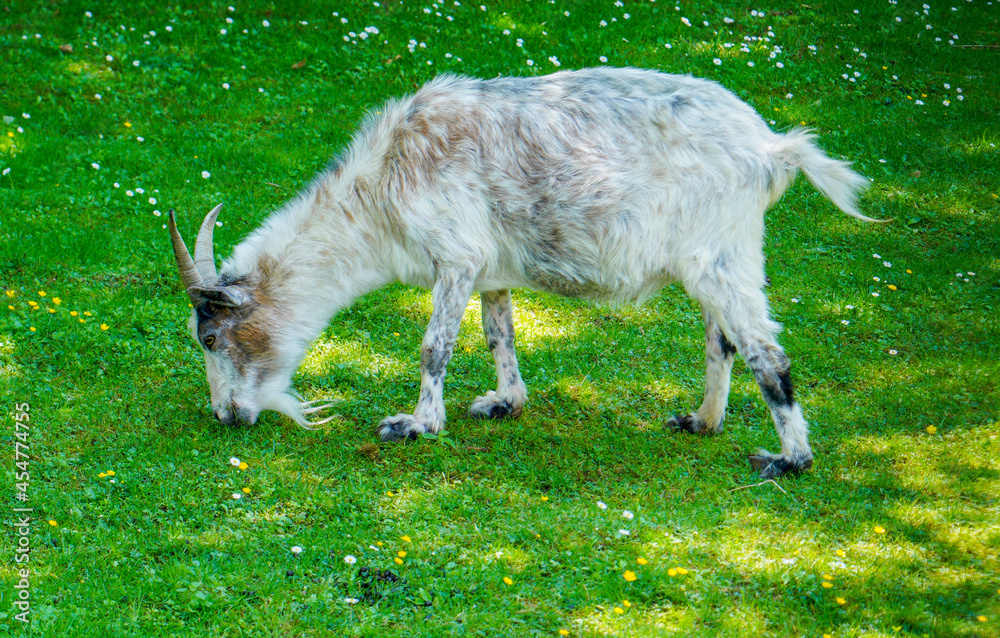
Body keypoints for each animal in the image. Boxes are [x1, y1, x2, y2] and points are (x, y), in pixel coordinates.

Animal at [168, 67, 874, 479]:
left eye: (211, 337)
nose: (226, 415)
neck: (383, 181)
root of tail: (774, 149)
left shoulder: (455, 258)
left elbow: (434, 346)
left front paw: (417, 425)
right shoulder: (491, 271)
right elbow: (497, 333)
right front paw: (506, 402)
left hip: (721, 257)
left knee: (765, 352)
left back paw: (789, 457)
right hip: (718, 259)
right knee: (722, 339)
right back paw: (701, 421)